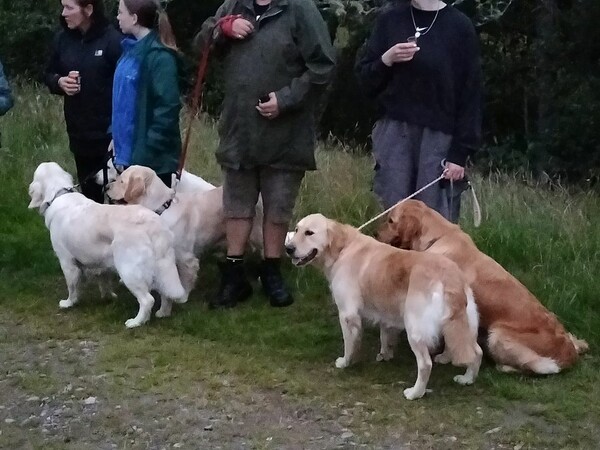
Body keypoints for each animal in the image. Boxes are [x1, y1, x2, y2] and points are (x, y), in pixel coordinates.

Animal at [27, 162, 185, 326]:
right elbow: (104, 281)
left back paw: (135, 322)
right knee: (166, 294)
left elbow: (72, 287)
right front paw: (109, 297)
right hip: (163, 267)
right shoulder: (100, 263)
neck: (61, 193)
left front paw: (68, 303)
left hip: (129, 271)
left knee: (148, 300)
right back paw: (163, 313)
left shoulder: (67, 262)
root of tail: (154, 225)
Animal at [105, 164, 262, 298]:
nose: (106, 187)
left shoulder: (186, 258)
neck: (162, 208)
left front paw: (183, 297)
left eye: (122, 181)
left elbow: (184, 282)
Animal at [284, 214, 482, 400]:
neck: (343, 248)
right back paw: (467, 379)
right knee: (477, 352)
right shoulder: (385, 312)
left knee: (425, 364)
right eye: (297, 229)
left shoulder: (347, 314)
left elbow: (350, 343)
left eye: (309, 233)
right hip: (466, 326)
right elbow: (385, 334)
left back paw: (415, 393)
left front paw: (345, 362)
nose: (288, 249)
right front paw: (385, 354)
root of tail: (450, 276)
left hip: (414, 328)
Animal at [378, 202, 588, 374]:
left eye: (390, 220)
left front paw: (445, 357)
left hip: (497, 335)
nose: (375, 233)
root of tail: (569, 351)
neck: (439, 236)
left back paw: (504, 366)